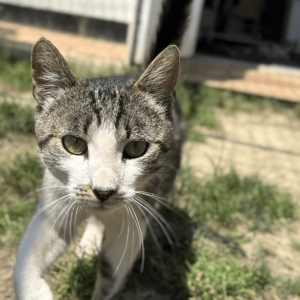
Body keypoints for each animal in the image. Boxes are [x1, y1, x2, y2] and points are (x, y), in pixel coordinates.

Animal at [12, 1, 191, 298]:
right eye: (73, 143)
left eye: (137, 147)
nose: (103, 191)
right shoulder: (54, 201)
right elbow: (25, 264)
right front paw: (36, 290)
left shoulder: (134, 219)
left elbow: (110, 272)